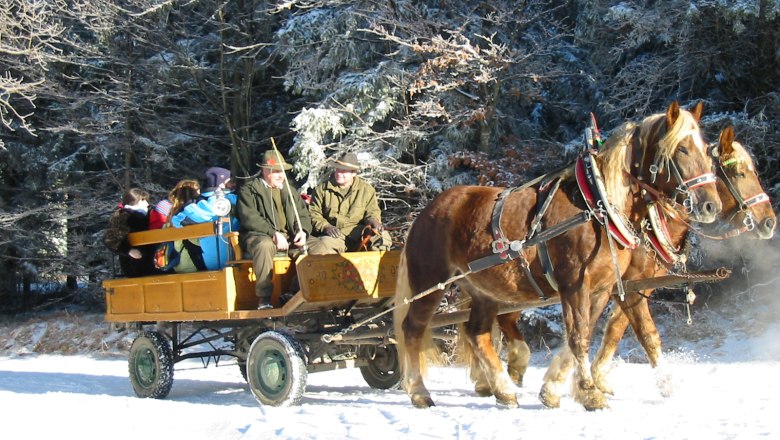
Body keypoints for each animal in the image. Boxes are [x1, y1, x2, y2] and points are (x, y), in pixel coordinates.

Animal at [394, 101, 724, 410]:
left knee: (477, 332)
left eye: (708, 151)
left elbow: (598, 333)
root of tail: (430, 208)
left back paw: (504, 389)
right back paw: (420, 392)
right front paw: (589, 394)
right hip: (430, 283)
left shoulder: (603, 288)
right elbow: (580, 337)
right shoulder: (575, 285)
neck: (599, 207)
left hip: (485, 290)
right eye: (682, 149)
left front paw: (555, 390)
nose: (711, 205)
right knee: (412, 328)